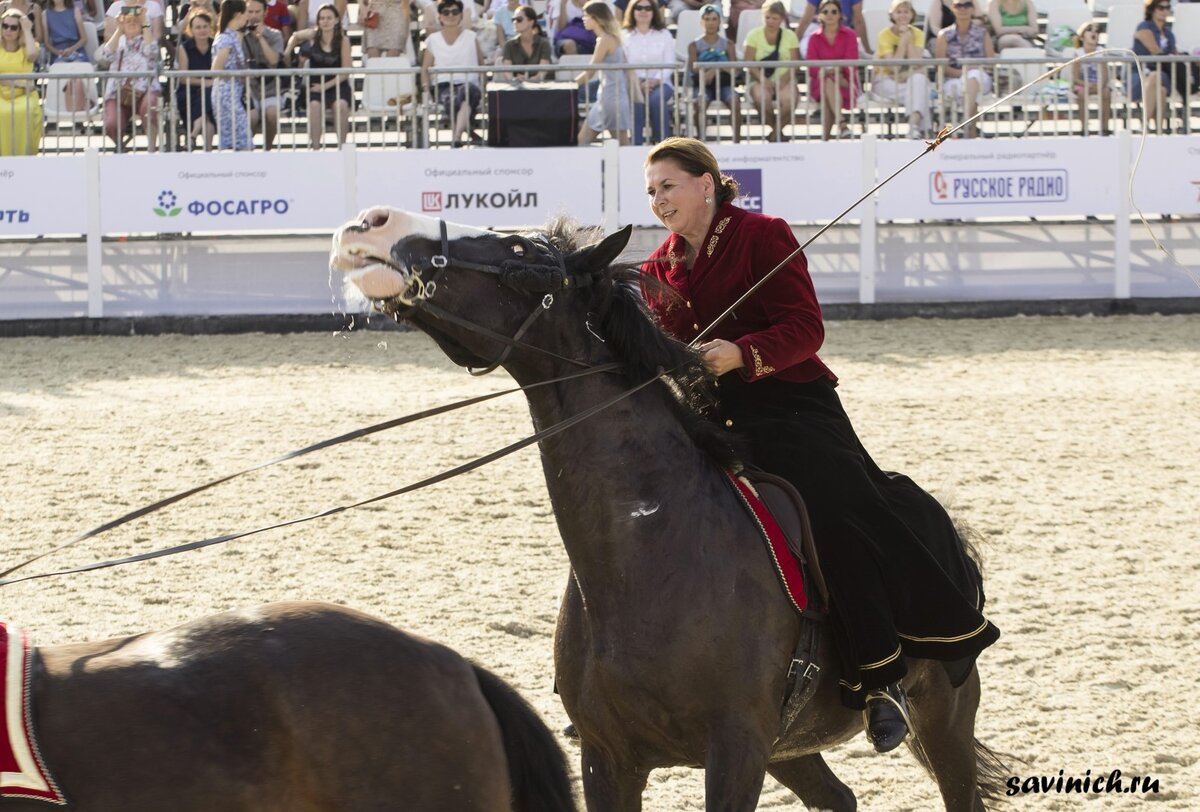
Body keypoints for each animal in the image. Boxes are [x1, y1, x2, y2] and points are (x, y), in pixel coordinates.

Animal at [331, 211, 1012, 810]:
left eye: (520, 251)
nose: (378, 229)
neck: (652, 552)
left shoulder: (735, 752)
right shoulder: (610, 759)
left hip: (943, 713)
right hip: (789, 749)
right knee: (838, 798)